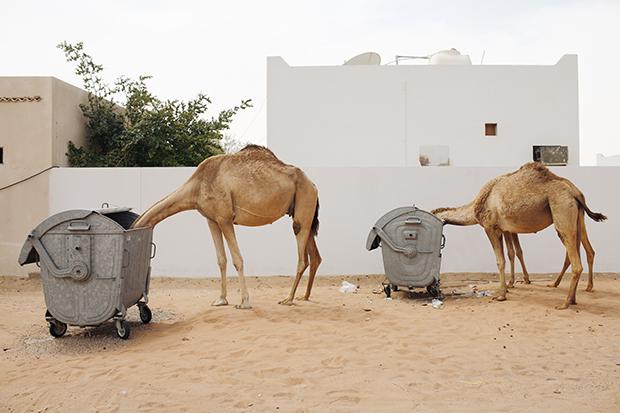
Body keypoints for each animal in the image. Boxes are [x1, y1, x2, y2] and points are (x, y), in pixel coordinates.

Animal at [133, 143, 322, 308]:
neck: (196, 187)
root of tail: (314, 185)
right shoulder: (211, 220)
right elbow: (221, 260)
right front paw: (221, 300)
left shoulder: (225, 218)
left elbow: (237, 259)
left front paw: (244, 302)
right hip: (305, 215)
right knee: (315, 256)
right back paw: (304, 296)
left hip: (304, 204)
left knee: (302, 257)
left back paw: (288, 299)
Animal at [432, 163, 604, 308]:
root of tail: (575, 192)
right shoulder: (504, 229)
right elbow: (511, 253)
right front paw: (509, 286)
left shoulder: (490, 227)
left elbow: (500, 260)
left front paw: (501, 295)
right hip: (577, 219)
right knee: (582, 251)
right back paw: (573, 297)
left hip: (562, 213)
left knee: (576, 262)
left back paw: (565, 302)